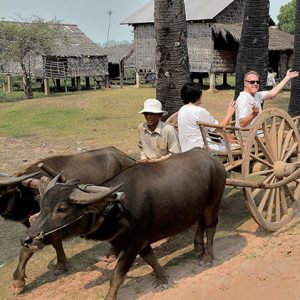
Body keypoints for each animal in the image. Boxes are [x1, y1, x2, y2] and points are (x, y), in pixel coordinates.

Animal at [0, 146, 138, 294]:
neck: (26, 192)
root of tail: (125, 156)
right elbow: (55, 242)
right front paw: (61, 265)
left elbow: (27, 250)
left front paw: (18, 281)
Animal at [22, 148, 225, 300]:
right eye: (41, 203)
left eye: (62, 208)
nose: (28, 240)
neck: (115, 208)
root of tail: (213, 159)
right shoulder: (139, 241)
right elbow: (150, 259)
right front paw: (162, 279)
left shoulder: (132, 244)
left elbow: (117, 275)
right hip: (201, 206)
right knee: (201, 224)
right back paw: (198, 249)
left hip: (213, 204)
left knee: (211, 226)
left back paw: (208, 257)